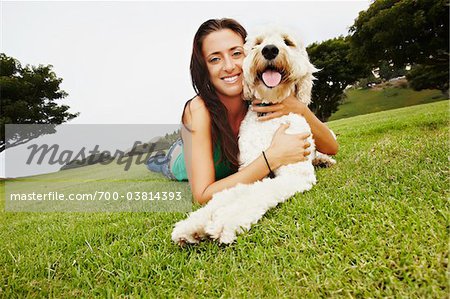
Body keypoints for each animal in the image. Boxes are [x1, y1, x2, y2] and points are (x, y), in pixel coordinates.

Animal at [172, 26, 334, 246]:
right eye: (258, 43)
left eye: (287, 41)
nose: (270, 50)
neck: (269, 115)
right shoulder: (250, 168)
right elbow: (230, 192)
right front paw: (193, 225)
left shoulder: (295, 174)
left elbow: (260, 191)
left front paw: (225, 221)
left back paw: (324, 160)